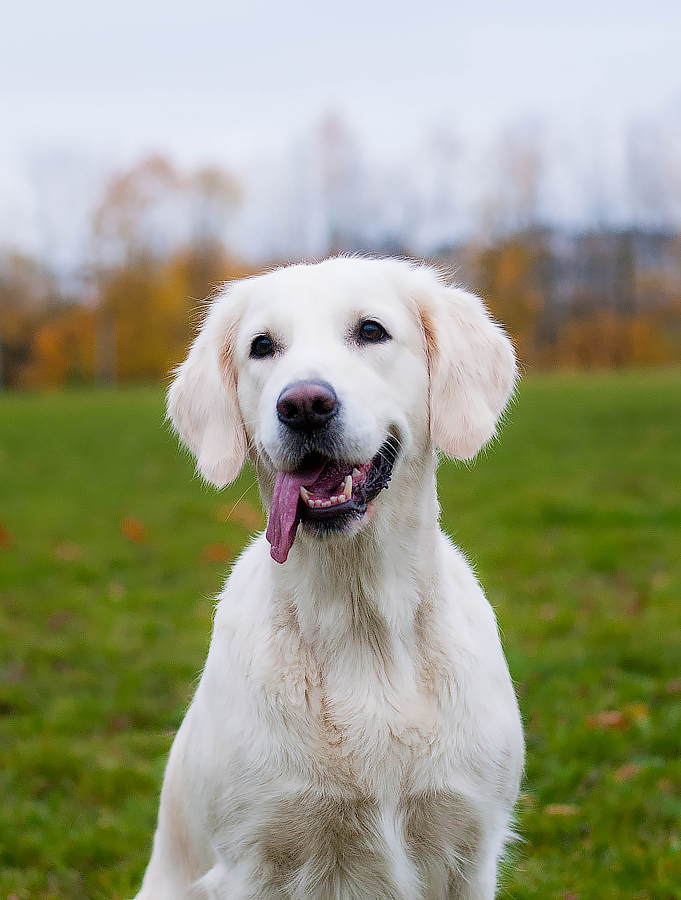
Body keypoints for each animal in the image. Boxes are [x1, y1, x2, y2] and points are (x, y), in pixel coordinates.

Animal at [135, 256, 524, 896]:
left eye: (371, 330)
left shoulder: (469, 844)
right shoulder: (253, 858)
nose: (303, 405)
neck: (359, 617)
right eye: (262, 346)